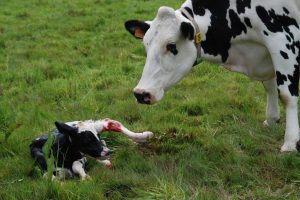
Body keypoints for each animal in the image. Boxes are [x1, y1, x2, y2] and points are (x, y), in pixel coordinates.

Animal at [124, 0, 300, 152]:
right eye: (146, 45)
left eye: (171, 46)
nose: (140, 93)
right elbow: (270, 86)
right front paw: (271, 119)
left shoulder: (282, 39)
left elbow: (286, 95)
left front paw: (291, 142)